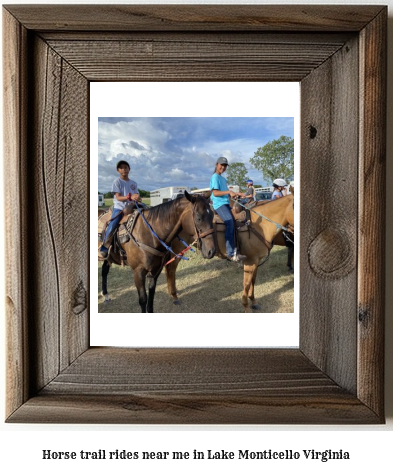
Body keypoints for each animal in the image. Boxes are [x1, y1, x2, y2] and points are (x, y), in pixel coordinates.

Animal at [164, 194, 292, 312]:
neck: (260, 225)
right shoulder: (250, 261)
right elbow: (246, 284)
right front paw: (246, 307)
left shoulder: (256, 260)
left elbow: (253, 281)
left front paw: (254, 302)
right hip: (177, 249)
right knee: (171, 268)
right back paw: (174, 296)